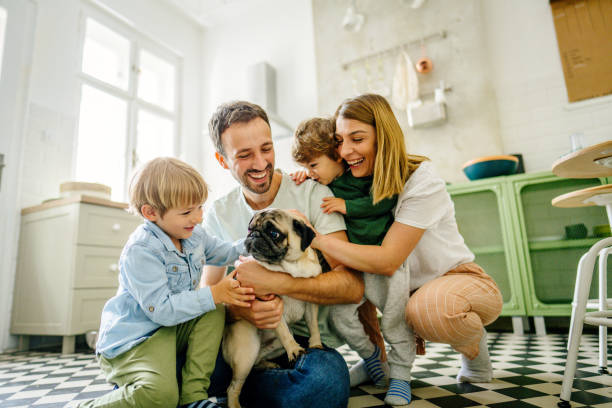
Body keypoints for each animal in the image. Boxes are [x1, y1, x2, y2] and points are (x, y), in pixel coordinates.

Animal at [221, 209, 326, 408]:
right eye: (250, 228)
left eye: (274, 233)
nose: (253, 235)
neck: (290, 267)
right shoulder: (270, 306)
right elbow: (283, 331)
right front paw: (294, 350)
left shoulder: (311, 303)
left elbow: (314, 325)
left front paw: (316, 343)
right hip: (246, 352)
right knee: (232, 387)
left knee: (256, 364)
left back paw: (268, 365)